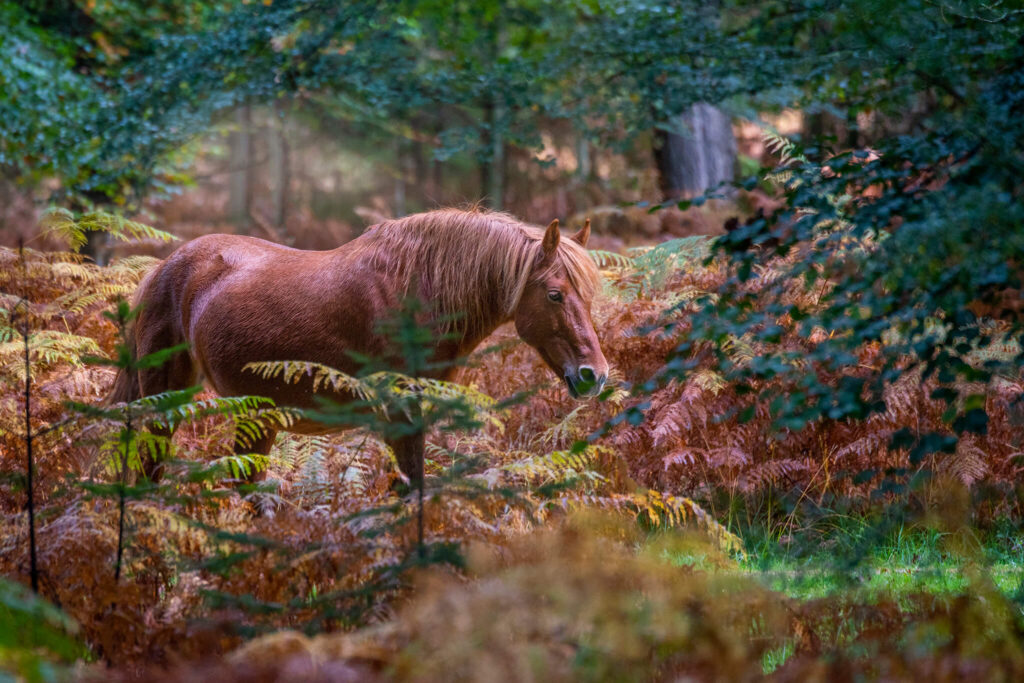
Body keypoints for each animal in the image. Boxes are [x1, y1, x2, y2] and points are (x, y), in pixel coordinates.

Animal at [110, 210, 606, 483]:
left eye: (589, 295)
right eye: (555, 294)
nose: (594, 375)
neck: (415, 291)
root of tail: (163, 268)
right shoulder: (399, 416)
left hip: (255, 416)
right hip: (166, 403)